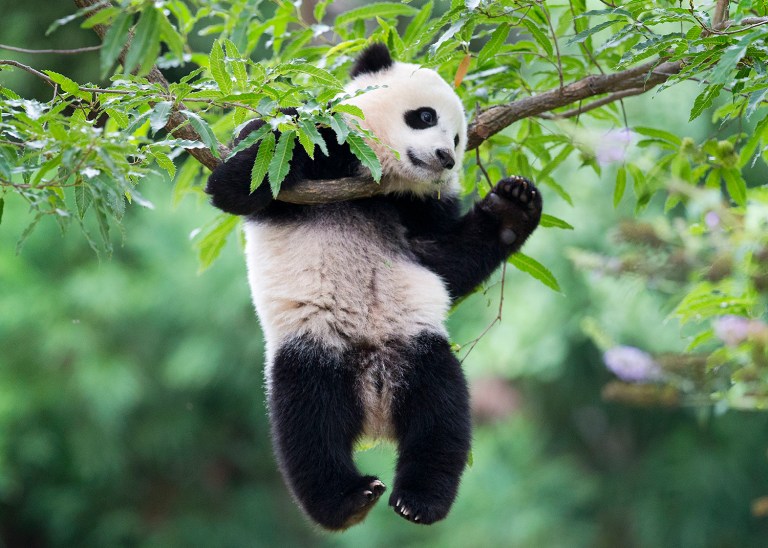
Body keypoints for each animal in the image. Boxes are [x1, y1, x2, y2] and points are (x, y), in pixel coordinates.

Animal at [205, 43, 542, 530]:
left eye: (460, 140)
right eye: (424, 116)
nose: (445, 157)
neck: (381, 181)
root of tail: (374, 407)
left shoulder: (419, 210)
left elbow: (446, 263)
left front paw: (514, 206)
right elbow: (241, 181)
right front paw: (292, 135)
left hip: (416, 349)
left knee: (442, 416)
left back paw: (419, 500)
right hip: (314, 349)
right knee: (308, 424)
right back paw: (347, 500)